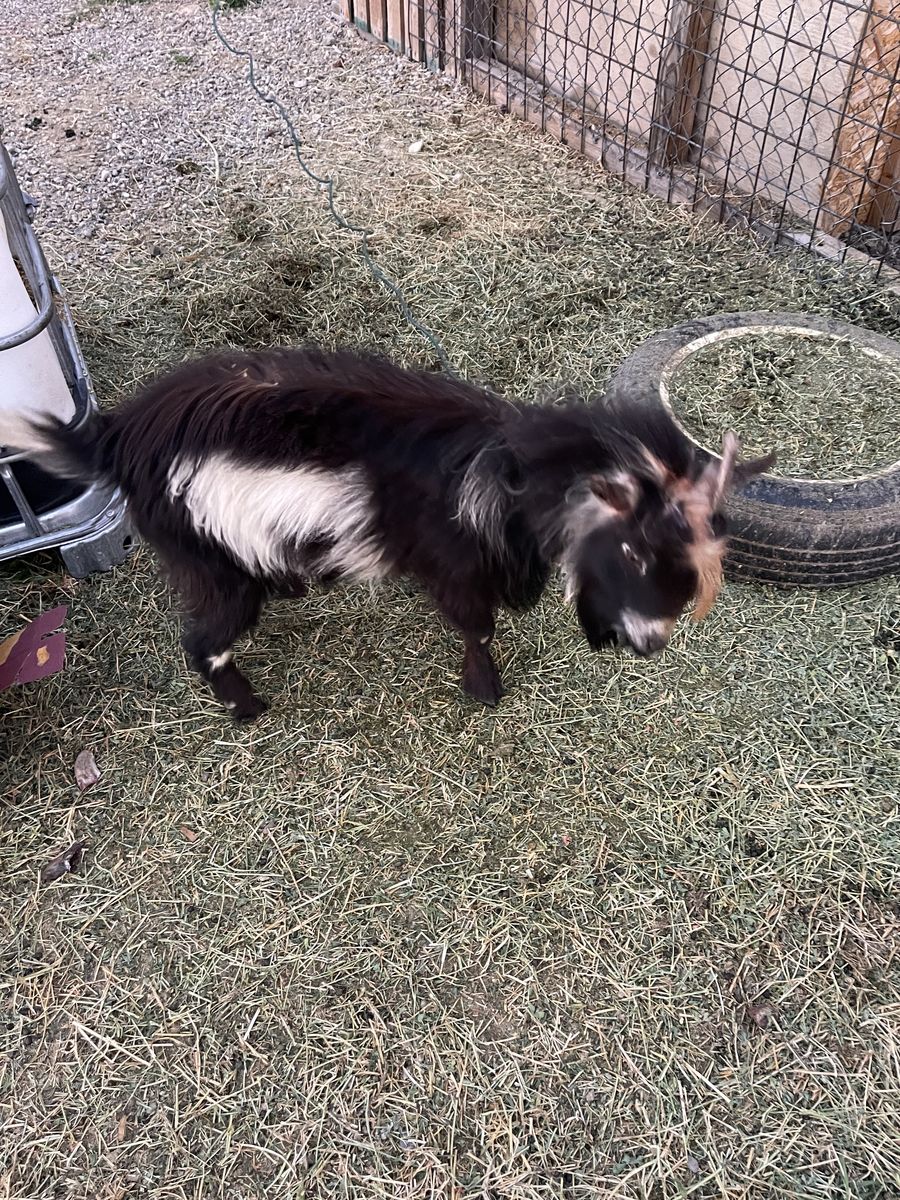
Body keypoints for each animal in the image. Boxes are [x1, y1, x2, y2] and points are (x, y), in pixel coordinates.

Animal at [2, 346, 774, 720]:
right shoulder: (455, 563)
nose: (651, 644)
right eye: (631, 549)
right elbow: (475, 627)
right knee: (203, 640)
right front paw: (485, 690)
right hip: (205, 551)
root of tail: (119, 436)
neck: (508, 472)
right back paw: (247, 708)